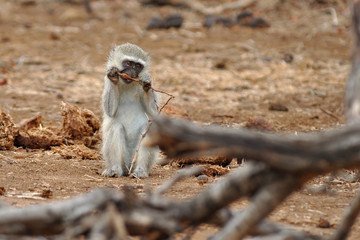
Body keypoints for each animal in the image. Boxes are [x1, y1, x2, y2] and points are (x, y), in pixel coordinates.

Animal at [100, 43, 158, 178]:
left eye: (137, 66)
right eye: (128, 63)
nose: (131, 73)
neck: (127, 84)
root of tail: (128, 169)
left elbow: (154, 113)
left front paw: (146, 84)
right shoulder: (106, 80)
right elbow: (109, 111)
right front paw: (114, 77)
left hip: (137, 160)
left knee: (147, 129)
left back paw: (140, 171)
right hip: (123, 161)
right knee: (115, 127)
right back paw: (115, 169)